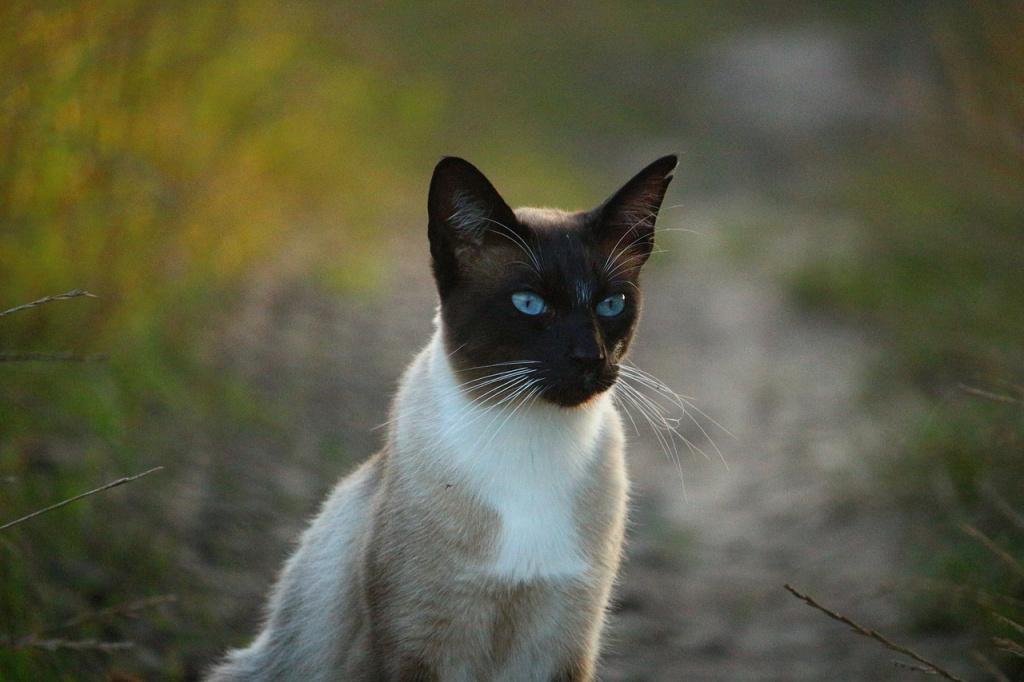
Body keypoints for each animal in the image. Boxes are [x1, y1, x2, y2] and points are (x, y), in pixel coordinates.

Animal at [204, 153, 675, 679]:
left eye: (610, 305)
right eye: (529, 304)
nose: (590, 357)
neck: (530, 443)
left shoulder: (563, 650)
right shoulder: (414, 648)